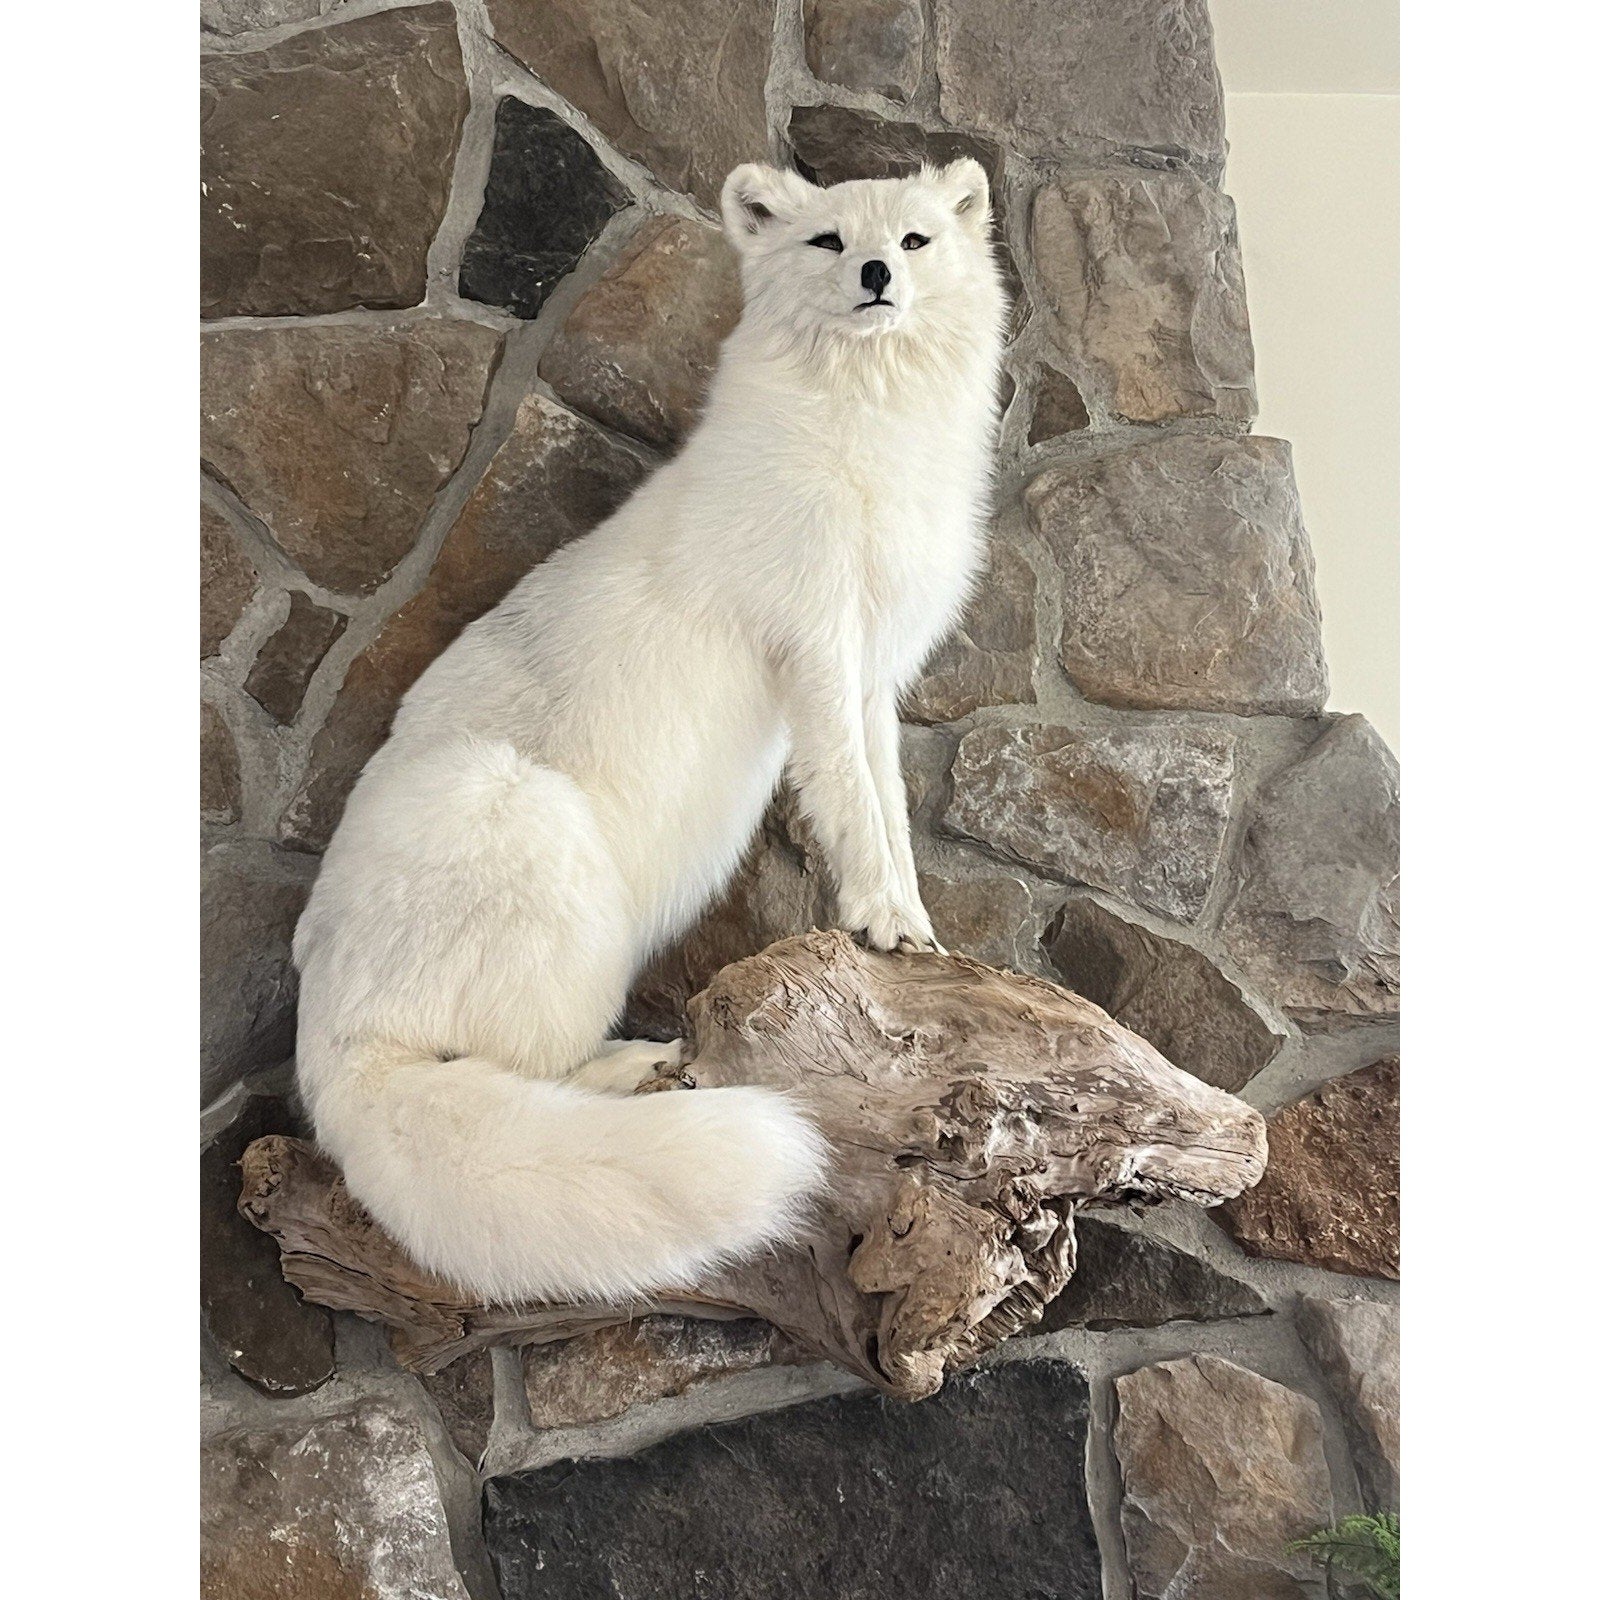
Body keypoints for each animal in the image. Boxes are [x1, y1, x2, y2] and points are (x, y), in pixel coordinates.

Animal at [291, 159, 1008, 1305]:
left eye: (914, 238)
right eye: (825, 240)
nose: (875, 274)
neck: (868, 428)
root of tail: (332, 1051)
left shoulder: (874, 682)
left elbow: (889, 808)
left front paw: (914, 920)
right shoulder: (819, 649)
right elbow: (852, 803)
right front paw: (887, 924)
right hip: (522, 820)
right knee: (520, 1069)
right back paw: (636, 1067)